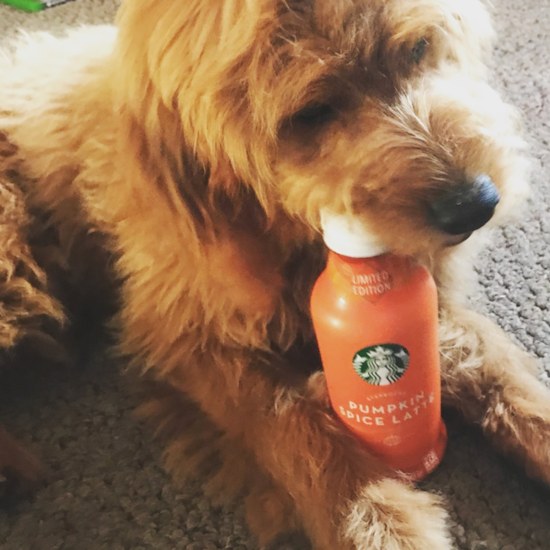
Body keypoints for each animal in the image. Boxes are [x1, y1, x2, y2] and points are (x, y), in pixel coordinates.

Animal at [1, 0, 550, 548]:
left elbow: (489, 362)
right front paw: (378, 523)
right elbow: (293, 428)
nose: (477, 205)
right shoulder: (193, 341)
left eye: (417, 48)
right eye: (312, 112)